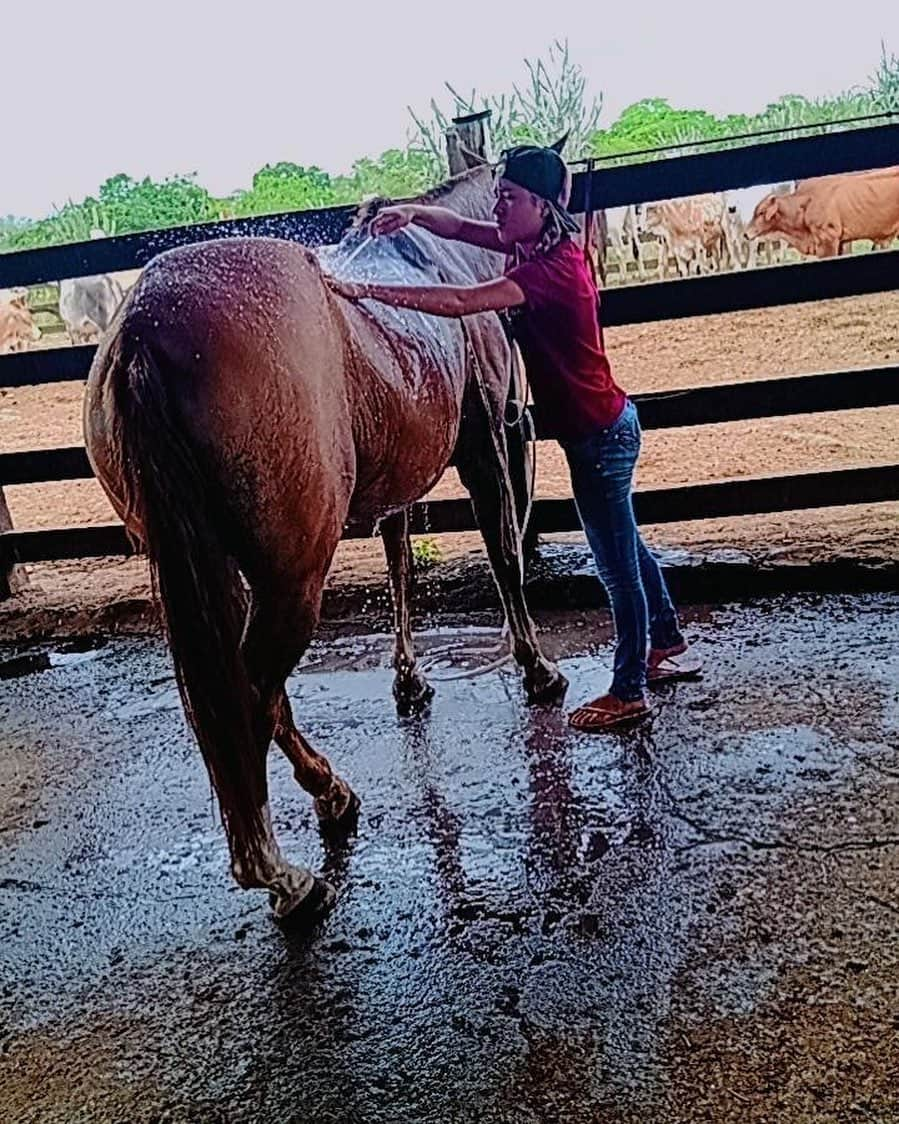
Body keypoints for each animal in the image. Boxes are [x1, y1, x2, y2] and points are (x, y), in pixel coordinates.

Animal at [82, 164, 561, 921]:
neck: (438, 261)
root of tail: (142, 329)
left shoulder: (397, 487)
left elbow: (399, 567)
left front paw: (410, 680)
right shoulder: (485, 449)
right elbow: (504, 558)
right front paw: (538, 671)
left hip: (222, 571)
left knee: (245, 696)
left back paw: (330, 797)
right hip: (293, 574)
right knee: (252, 693)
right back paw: (284, 874)